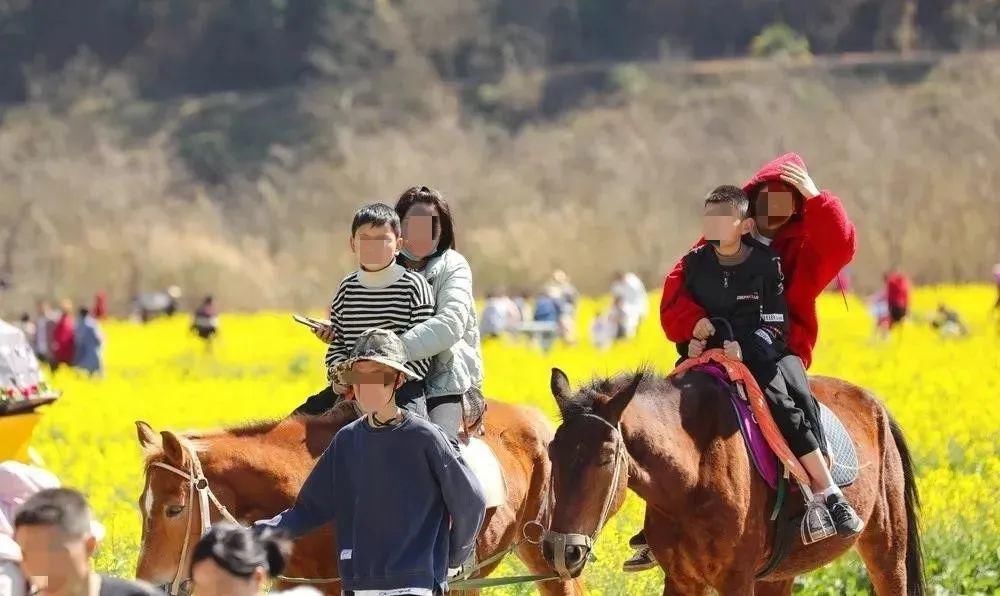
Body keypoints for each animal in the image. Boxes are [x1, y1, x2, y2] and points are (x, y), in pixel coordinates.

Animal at [544, 368, 924, 596]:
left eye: (607, 457)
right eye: (551, 451)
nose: (561, 550)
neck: (692, 480)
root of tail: (875, 404)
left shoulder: (736, 580)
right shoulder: (681, 581)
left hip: (887, 552)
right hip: (778, 575)